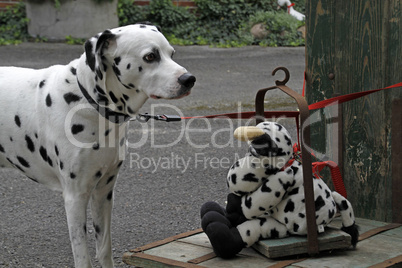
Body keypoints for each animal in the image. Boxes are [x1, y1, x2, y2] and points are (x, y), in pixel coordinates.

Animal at [0, 23, 195, 268]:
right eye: (150, 56)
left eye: (172, 53)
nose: (189, 79)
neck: (88, 102)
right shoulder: (75, 197)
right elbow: (83, 257)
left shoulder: (103, 192)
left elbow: (104, 249)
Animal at [201, 122, 358, 258]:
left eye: (253, 155)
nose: (231, 178)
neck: (288, 163)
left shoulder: (279, 182)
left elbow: (252, 205)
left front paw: (233, 202)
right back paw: (212, 211)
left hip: (278, 226)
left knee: (248, 228)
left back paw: (218, 231)